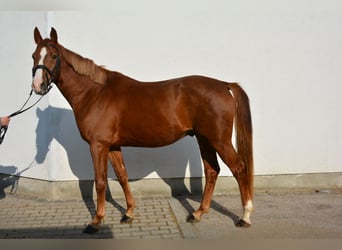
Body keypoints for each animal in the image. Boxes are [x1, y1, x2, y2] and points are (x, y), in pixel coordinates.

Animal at [30, 26, 252, 232]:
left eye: (53, 56)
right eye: (34, 55)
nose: (37, 86)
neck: (94, 93)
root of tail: (223, 85)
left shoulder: (98, 145)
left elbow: (100, 182)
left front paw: (96, 221)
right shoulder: (112, 146)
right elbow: (122, 176)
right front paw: (128, 213)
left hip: (219, 140)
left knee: (239, 168)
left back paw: (245, 217)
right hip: (203, 139)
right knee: (212, 170)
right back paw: (197, 213)